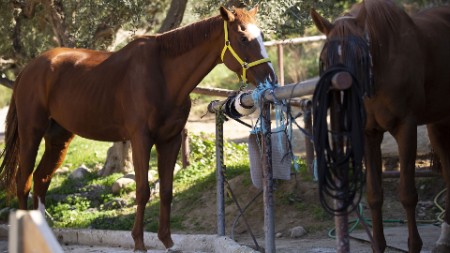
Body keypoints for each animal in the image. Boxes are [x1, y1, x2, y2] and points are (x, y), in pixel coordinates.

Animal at [0, 6, 276, 253]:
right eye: (243, 38)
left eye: (261, 36)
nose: (270, 78)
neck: (163, 75)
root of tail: (29, 68)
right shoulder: (141, 139)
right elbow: (142, 191)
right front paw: (139, 243)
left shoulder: (170, 140)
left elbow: (166, 191)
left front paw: (167, 242)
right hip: (31, 134)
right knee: (23, 180)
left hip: (59, 138)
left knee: (41, 179)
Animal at [312, 0, 450, 253]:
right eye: (325, 59)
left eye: (359, 57)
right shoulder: (369, 133)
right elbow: (374, 195)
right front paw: (378, 243)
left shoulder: (406, 127)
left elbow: (407, 194)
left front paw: (414, 245)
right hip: (438, 125)